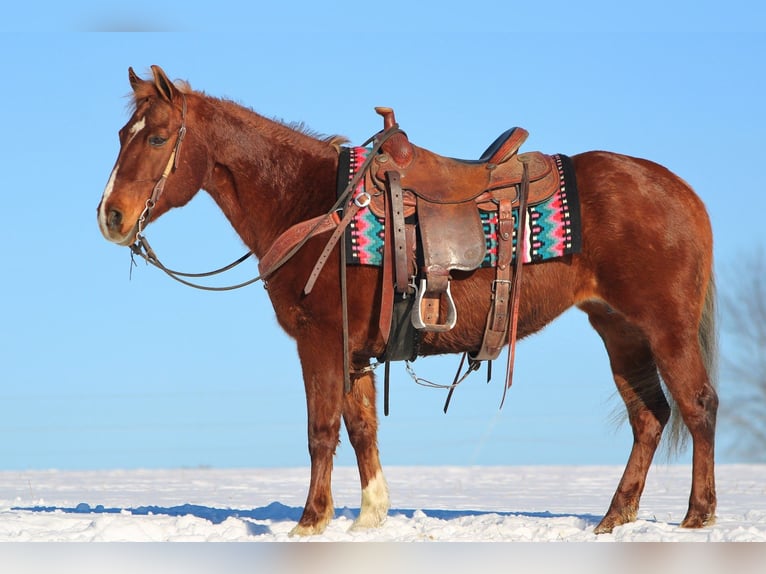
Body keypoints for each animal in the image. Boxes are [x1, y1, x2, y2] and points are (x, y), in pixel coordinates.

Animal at [97, 65, 718, 536]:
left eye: (156, 138)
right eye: (122, 135)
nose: (111, 216)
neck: (311, 205)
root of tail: (681, 191)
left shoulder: (319, 340)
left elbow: (321, 430)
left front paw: (310, 522)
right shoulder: (353, 351)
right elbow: (361, 428)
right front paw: (369, 517)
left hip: (666, 326)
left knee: (698, 405)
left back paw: (698, 516)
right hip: (619, 330)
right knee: (650, 416)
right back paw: (615, 518)